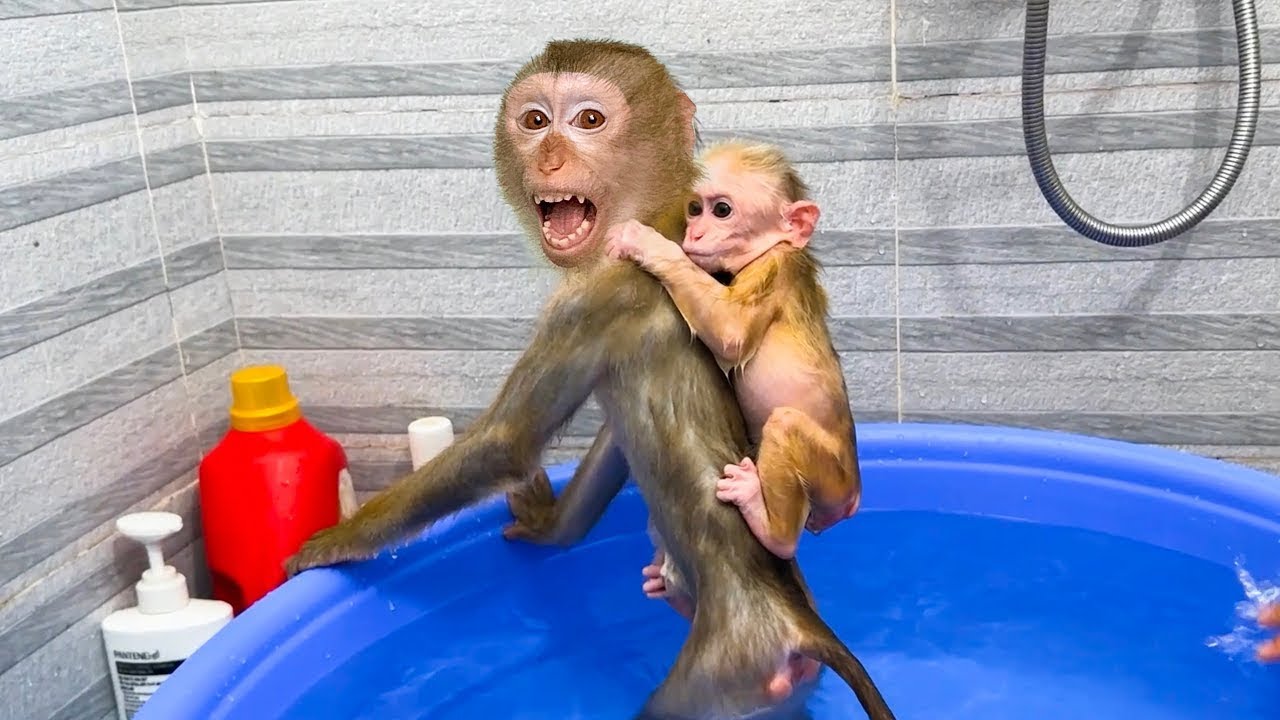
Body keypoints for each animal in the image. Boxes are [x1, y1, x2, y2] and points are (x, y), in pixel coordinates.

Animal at [602, 140, 862, 564]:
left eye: (721, 210)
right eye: (695, 208)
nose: (695, 232)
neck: (772, 248)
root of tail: (853, 494)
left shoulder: (770, 271)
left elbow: (730, 333)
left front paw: (643, 241)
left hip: (832, 476)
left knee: (784, 426)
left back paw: (770, 528)